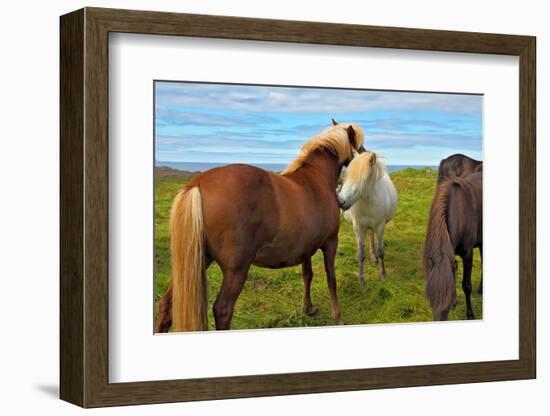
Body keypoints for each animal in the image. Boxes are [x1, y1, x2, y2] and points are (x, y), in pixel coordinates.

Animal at [155, 119, 366, 332]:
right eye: (357, 143)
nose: (365, 152)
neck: (316, 178)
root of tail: (197, 184)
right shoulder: (331, 243)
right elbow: (331, 279)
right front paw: (337, 317)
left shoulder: (306, 248)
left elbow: (308, 275)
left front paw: (308, 308)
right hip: (236, 269)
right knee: (222, 309)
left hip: (200, 259)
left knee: (167, 304)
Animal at [338, 151, 398, 284]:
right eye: (347, 175)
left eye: (363, 179)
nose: (340, 201)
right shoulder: (358, 226)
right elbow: (361, 253)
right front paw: (361, 279)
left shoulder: (380, 226)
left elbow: (380, 251)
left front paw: (383, 274)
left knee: (371, 235)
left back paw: (373, 256)